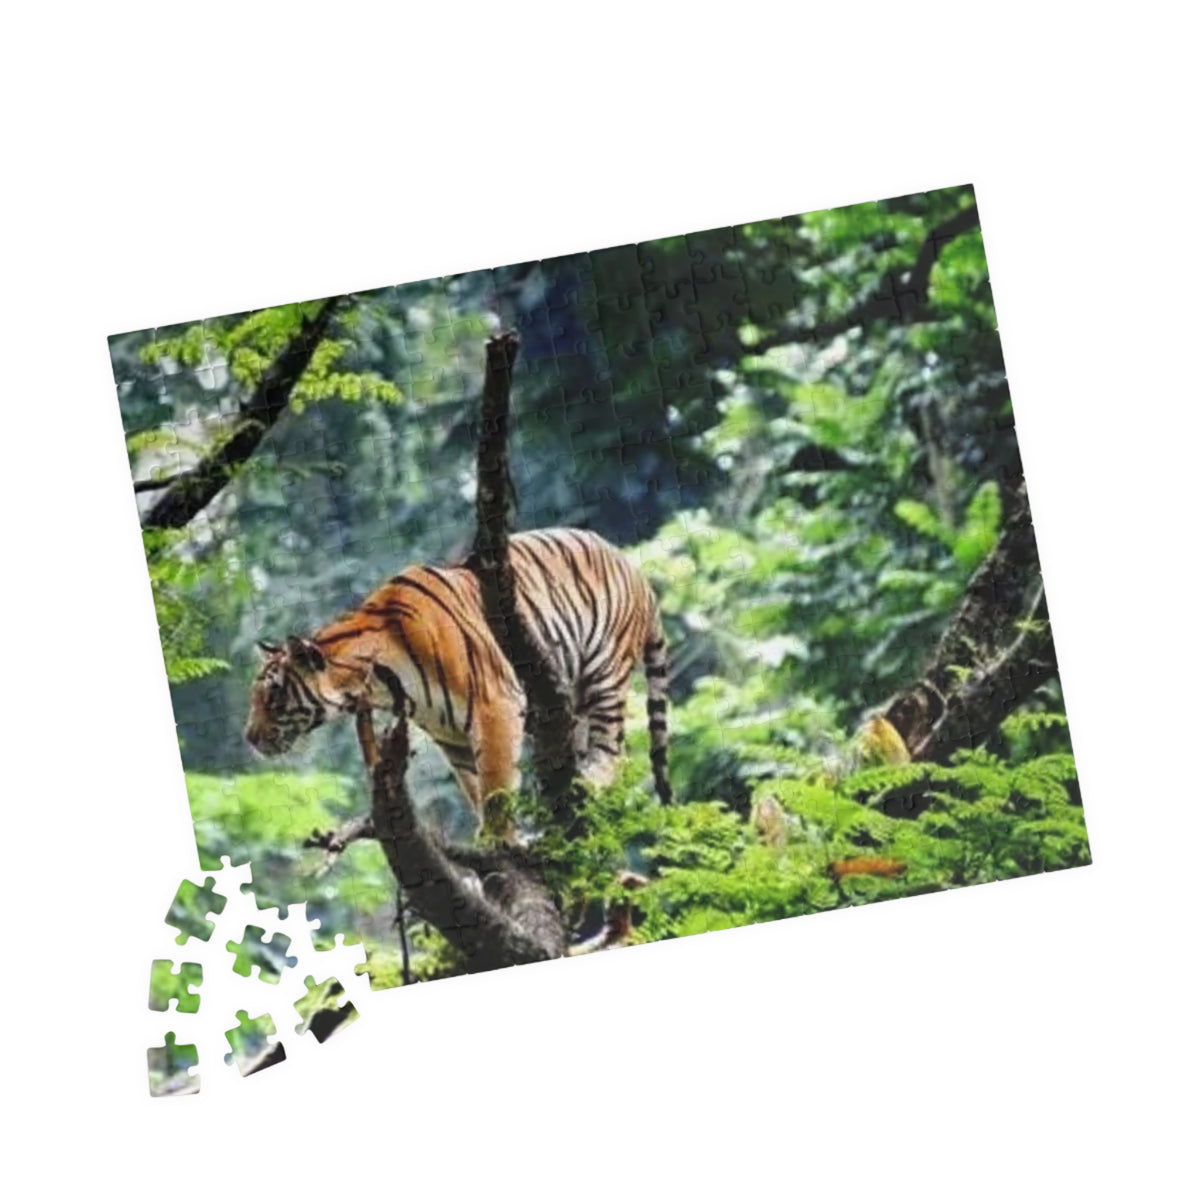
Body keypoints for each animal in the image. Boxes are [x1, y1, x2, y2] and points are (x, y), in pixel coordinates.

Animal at [245, 528, 672, 822]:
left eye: (274, 694)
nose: (249, 738)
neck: (381, 682)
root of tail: (636, 570)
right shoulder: (451, 736)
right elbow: (477, 792)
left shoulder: (494, 706)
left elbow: (496, 792)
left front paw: (499, 844)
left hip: (605, 669)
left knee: (614, 750)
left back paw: (589, 780)